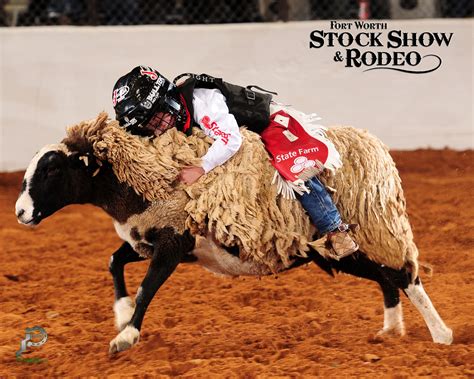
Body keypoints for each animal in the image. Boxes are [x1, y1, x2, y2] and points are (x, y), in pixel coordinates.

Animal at [13, 112, 452, 354]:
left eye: (51, 168)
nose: (20, 212)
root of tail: (374, 149)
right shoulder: (150, 238)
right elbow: (114, 261)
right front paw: (121, 315)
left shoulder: (174, 242)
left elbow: (147, 287)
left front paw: (126, 337)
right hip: (338, 250)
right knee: (386, 277)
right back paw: (391, 329)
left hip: (373, 231)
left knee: (405, 275)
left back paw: (442, 336)